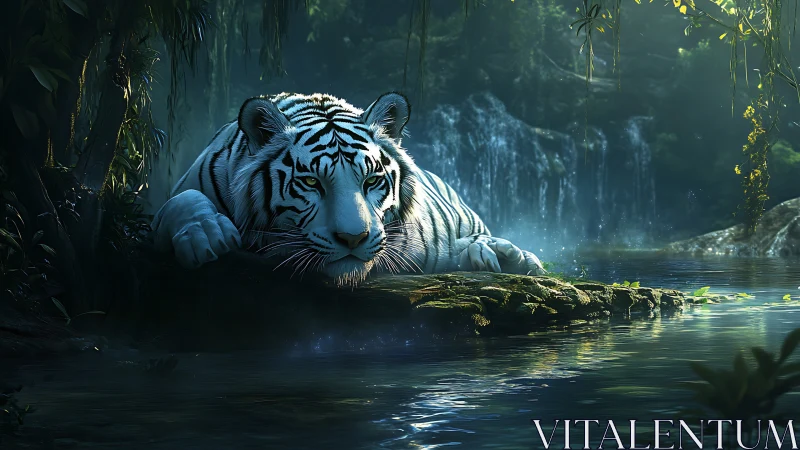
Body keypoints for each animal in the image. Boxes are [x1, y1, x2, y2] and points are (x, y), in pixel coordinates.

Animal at [151, 91, 546, 285]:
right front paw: (206, 236)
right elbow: (183, 199)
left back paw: (507, 256)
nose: (353, 239)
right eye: (311, 182)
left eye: (371, 181)